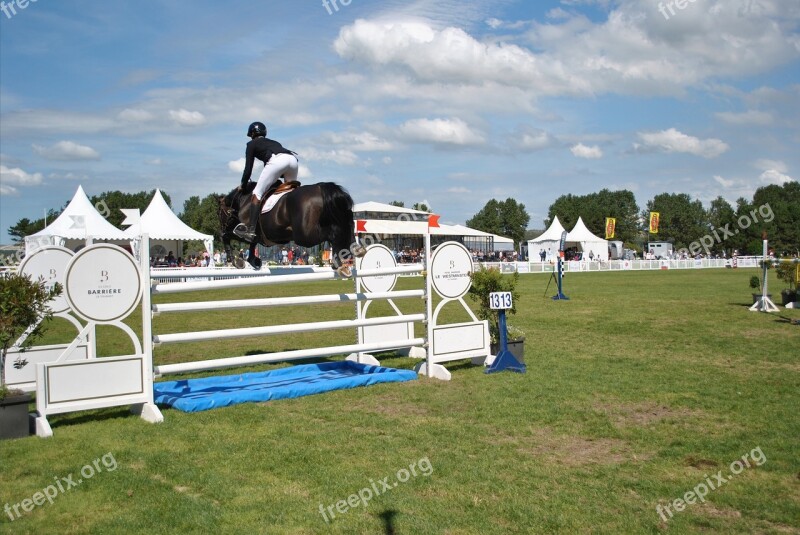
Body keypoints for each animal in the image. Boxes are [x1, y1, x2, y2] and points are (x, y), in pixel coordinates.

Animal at [220, 183, 368, 278]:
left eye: (219, 212)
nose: (221, 227)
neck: (242, 201)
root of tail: (322, 188)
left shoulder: (244, 231)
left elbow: (227, 236)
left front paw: (235, 260)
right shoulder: (261, 237)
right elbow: (252, 243)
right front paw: (253, 260)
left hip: (304, 236)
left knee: (332, 234)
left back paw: (339, 262)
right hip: (340, 214)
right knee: (348, 225)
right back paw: (355, 250)